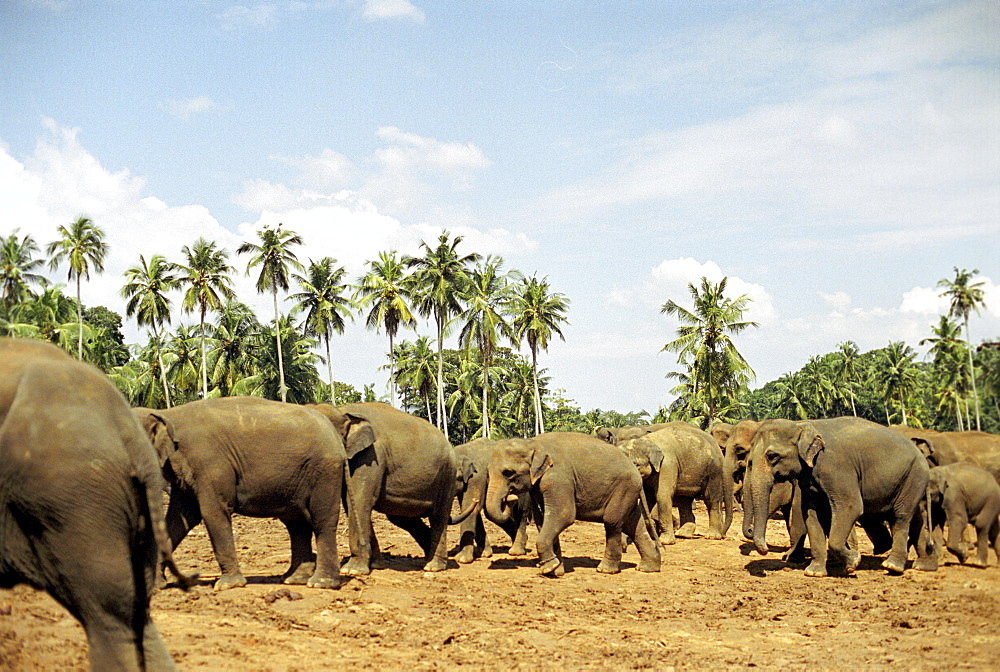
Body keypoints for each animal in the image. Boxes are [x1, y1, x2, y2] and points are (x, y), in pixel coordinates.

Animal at [135, 396, 348, 592]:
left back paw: (320, 583)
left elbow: (212, 511)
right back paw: (294, 580)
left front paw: (228, 585)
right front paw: (155, 586)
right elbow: (179, 519)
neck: (166, 414)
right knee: (296, 524)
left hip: (324, 470)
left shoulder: (209, 462)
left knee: (322, 520)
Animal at [310, 402, 470, 576]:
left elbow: (359, 502)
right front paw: (375, 565)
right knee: (404, 517)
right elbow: (352, 504)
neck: (342, 410)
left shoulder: (372, 456)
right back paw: (428, 559)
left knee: (438, 517)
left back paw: (433, 566)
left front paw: (352, 570)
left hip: (447, 475)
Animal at [482, 434, 660, 576]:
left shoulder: (558, 478)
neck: (532, 442)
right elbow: (543, 520)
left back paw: (605, 570)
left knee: (612, 521)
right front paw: (555, 570)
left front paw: (549, 568)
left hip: (624, 488)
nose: (510, 498)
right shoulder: (538, 487)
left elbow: (564, 515)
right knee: (634, 525)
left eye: (508, 473)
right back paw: (648, 568)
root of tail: (635, 468)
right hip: (628, 491)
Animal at [748, 414, 932, 576]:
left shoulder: (836, 467)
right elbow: (811, 514)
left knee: (901, 517)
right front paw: (814, 572)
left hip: (914, 475)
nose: (765, 549)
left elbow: (851, 507)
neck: (803, 424)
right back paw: (923, 565)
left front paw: (854, 563)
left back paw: (892, 567)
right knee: (916, 519)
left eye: (772, 456)